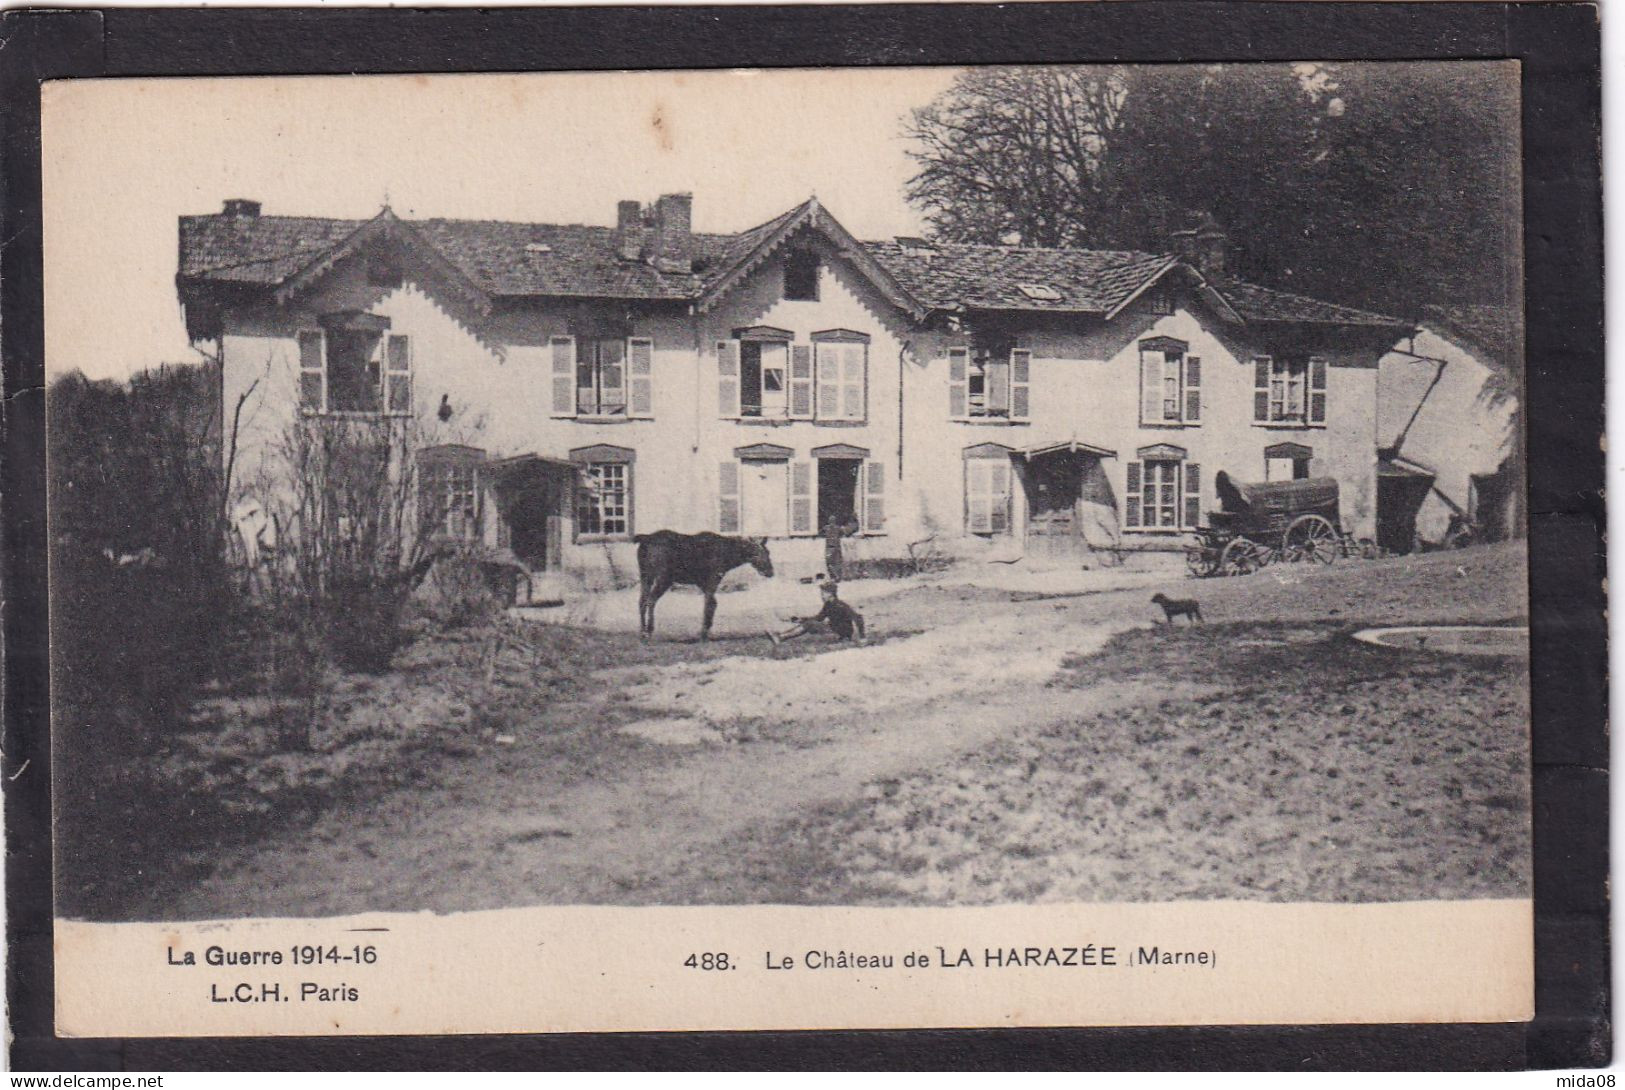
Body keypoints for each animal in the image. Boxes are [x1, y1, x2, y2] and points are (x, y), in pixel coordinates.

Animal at [633, 536, 773, 643]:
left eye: (769, 552)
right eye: (761, 553)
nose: (770, 572)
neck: (728, 557)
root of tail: (644, 542)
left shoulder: (703, 583)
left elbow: (712, 604)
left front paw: (706, 630)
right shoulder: (712, 580)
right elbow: (708, 604)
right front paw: (703, 633)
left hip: (645, 576)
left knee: (642, 601)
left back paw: (642, 632)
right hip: (664, 578)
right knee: (651, 600)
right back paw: (649, 631)